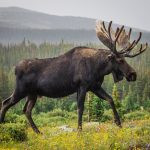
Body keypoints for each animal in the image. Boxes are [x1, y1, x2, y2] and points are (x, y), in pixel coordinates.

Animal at [0, 20, 148, 134]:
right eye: (120, 60)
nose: (133, 74)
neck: (98, 68)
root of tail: (15, 69)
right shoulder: (82, 86)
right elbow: (80, 108)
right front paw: (79, 130)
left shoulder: (94, 87)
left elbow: (110, 99)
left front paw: (118, 123)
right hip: (21, 90)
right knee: (6, 103)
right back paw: (3, 125)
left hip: (32, 94)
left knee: (26, 110)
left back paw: (38, 132)